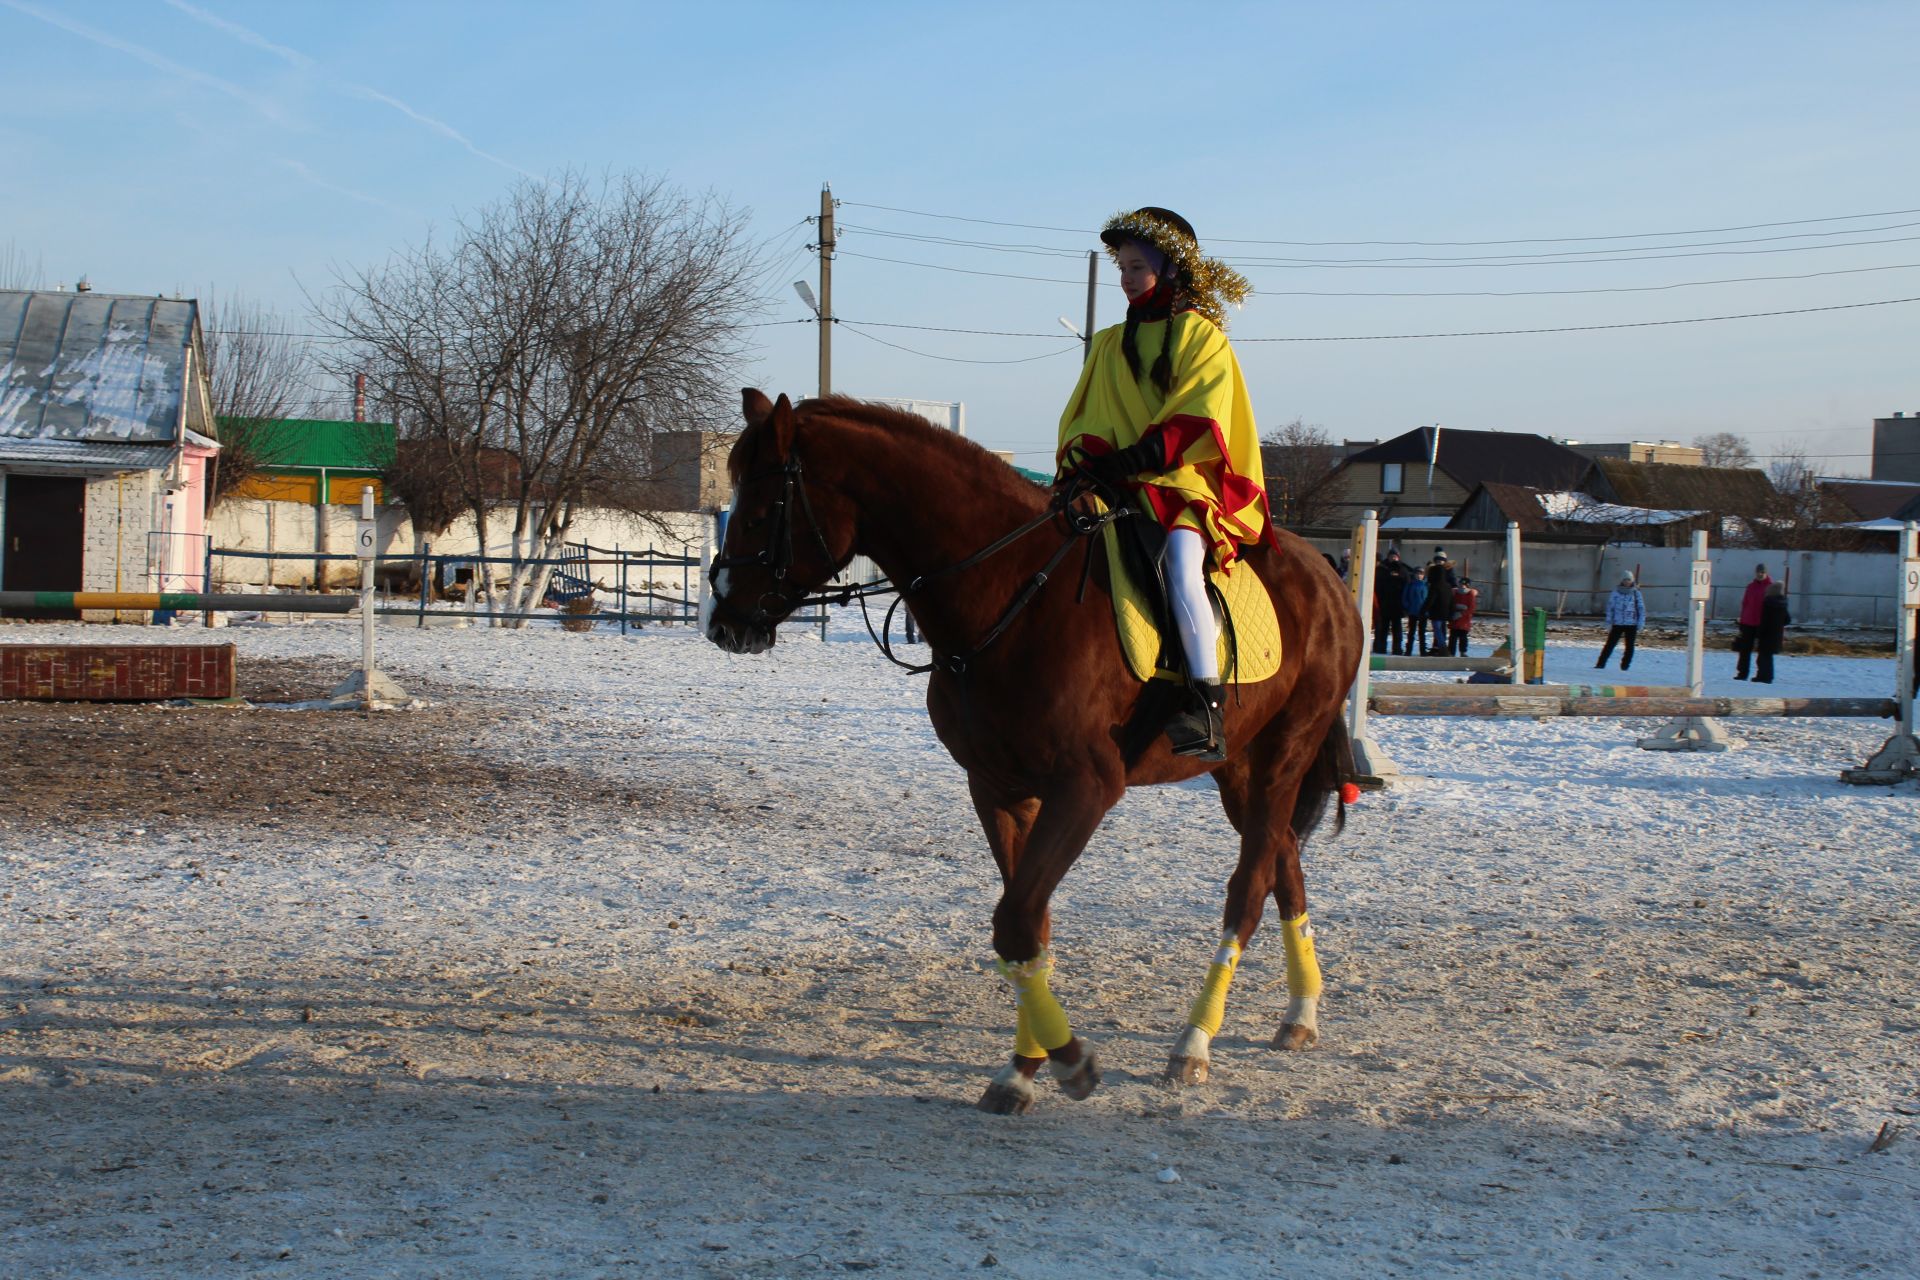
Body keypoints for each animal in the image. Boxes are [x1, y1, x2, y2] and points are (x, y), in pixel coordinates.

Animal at [706, 387, 1367, 1113]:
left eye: (762, 512)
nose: (723, 625)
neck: (1009, 593)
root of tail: (1326, 576)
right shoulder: (998, 788)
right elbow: (1026, 930)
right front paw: (1023, 1069)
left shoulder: (1085, 789)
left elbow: (1018, 921)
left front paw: (1071, 1062)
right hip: (1238, 770)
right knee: (1285, 864)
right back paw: (1300, 1012)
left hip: (1284, 753)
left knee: (1249, 888)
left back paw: (1194, 1042)